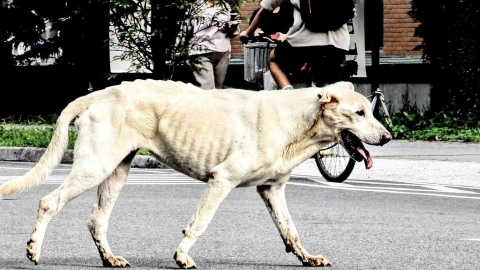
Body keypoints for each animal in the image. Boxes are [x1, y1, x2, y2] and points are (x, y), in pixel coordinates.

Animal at [0, 79, 390, 268]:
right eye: (359, 113)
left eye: (370, 111)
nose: (387, 137)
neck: (300, 122)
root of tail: (100, 93)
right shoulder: (222, 179)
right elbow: (199, 223)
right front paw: (182, 256)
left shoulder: (272, 189)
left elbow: (291, 230)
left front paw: (308, 258)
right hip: (95, 166)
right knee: (49, 201)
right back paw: (33, 251)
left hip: (116, 171)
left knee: (96, 219)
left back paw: (110, 259)